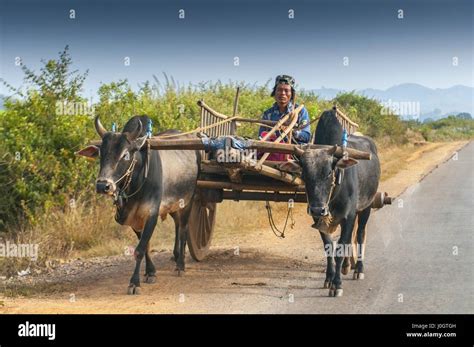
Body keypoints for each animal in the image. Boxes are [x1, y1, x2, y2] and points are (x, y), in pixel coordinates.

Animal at [77, 115, 199, 294]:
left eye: (125, 155)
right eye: (100, 154)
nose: (102, 186)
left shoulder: (151, 214)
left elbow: (139, 250)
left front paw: (134, 283)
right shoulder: (134, 218)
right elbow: (145, 245)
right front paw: (150, 272)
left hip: (188, 201)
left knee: (183, 229)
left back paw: (180, 265)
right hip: (174, 205)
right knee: (177, 225)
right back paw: (176, 255)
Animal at [284, 110, 380, 298]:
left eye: (329, 173)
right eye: (304, 174)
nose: (318, 209)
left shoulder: (349, 215)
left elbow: (340, 247)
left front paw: (337, 285)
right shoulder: (319, 219)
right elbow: (329, 247)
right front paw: (329, 279)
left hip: (366, 207)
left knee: (360, 235)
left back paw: (358, 268)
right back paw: (346, 266)